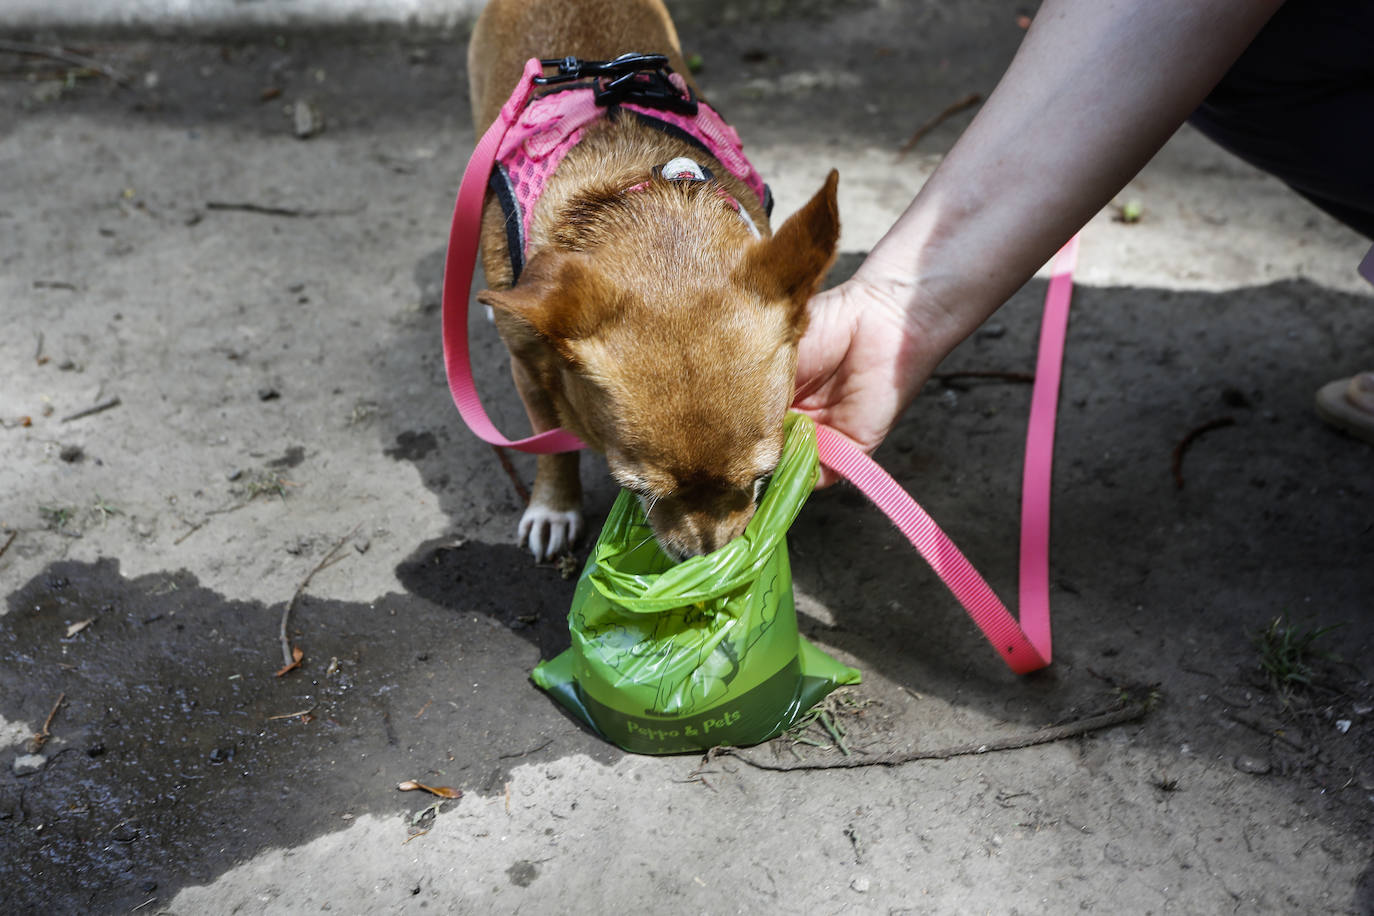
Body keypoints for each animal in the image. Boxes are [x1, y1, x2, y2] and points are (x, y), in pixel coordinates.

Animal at [469, 0, 835, 563]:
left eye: (765, 475)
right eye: (638, 489)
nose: (706, 555)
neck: (643, 196)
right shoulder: (528, 370)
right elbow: (552, 444)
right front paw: (554, 506)